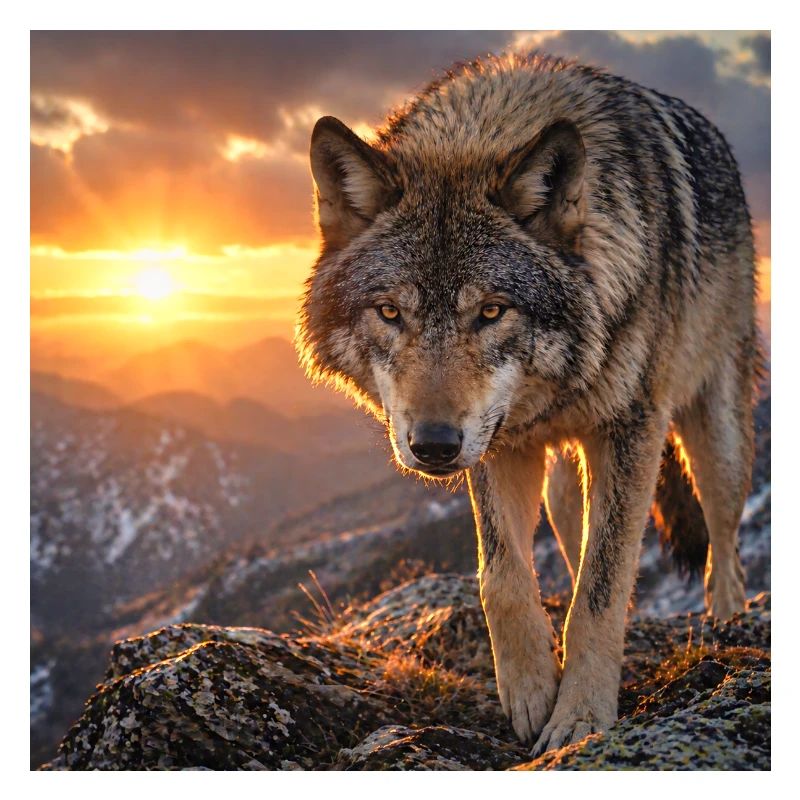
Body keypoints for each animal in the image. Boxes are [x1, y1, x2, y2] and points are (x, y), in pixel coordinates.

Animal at [297, 53, 758, 753]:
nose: (434, 446)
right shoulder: (497, 442)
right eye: (390, 312)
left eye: (492, 312)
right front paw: (532, 689)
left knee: (723, 547)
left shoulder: (632, 430)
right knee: (575, 538)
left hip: (714, 441)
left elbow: (601, 590)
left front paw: (581, 716)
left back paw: (727, 629)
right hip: (567, 488)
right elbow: (503, 576)